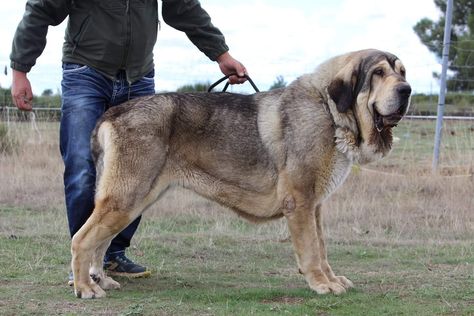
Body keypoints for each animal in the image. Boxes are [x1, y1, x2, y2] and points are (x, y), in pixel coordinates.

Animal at [70, 48, 412, 298]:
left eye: (403, 72)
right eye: (378, 73)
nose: (407, 90)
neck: (328, 109)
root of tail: (113, 112)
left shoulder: (314, 206)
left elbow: (322, 247)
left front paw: (331, 278)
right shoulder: (300, 202)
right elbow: (312, 250)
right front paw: (321, 284)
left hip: (132, 200)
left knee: (101, 241)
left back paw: (101, 280)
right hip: (126, 198)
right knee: (81, 239)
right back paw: (86, 287)